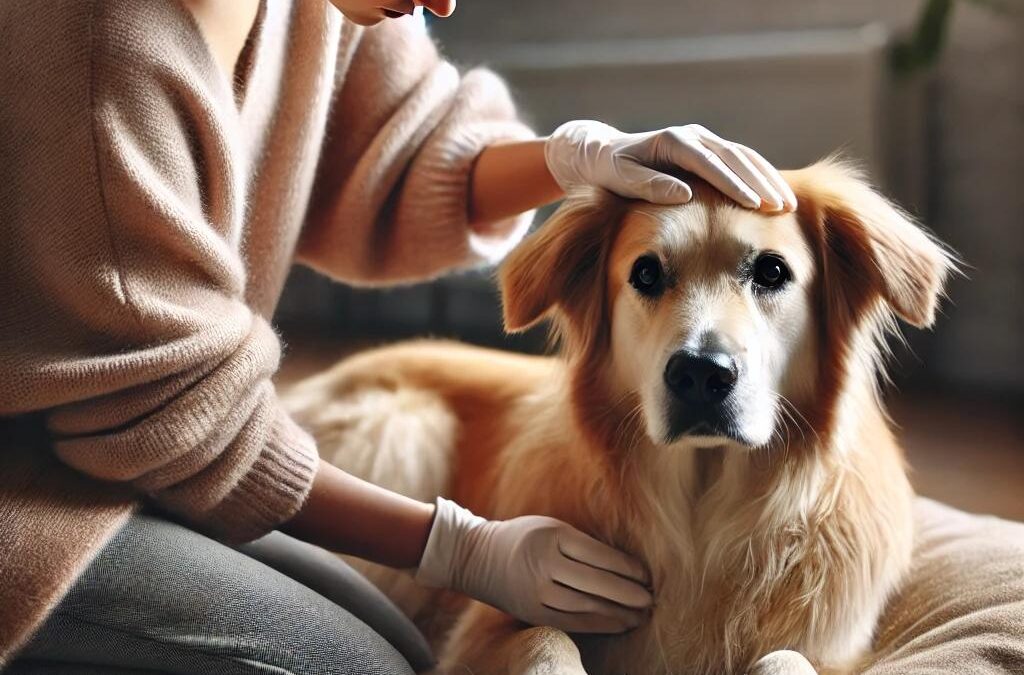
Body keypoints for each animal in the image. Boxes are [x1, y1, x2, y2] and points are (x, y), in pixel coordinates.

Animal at [286, 159, 950, 675]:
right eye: (646, 273)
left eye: (772, 272)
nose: (701, 376)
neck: (700, 520)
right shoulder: (484, 631)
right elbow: (546, 636)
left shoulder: (835, 650)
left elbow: (788, 659)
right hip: (406, 431)